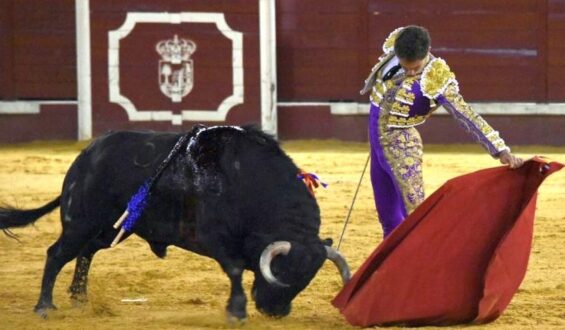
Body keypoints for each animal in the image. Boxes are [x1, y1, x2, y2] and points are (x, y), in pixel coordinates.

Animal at [0, 125, 350, 320]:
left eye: (306, 279)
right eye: (281, 271)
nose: (274, 312)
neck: (249, 183)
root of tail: (85, 157)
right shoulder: (214, 238)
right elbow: (235, 269)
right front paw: (236, 312)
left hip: (110, 229)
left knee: (86, 253)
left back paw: (79, 298)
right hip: (81, 222)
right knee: (57, 254)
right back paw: (45, 306)